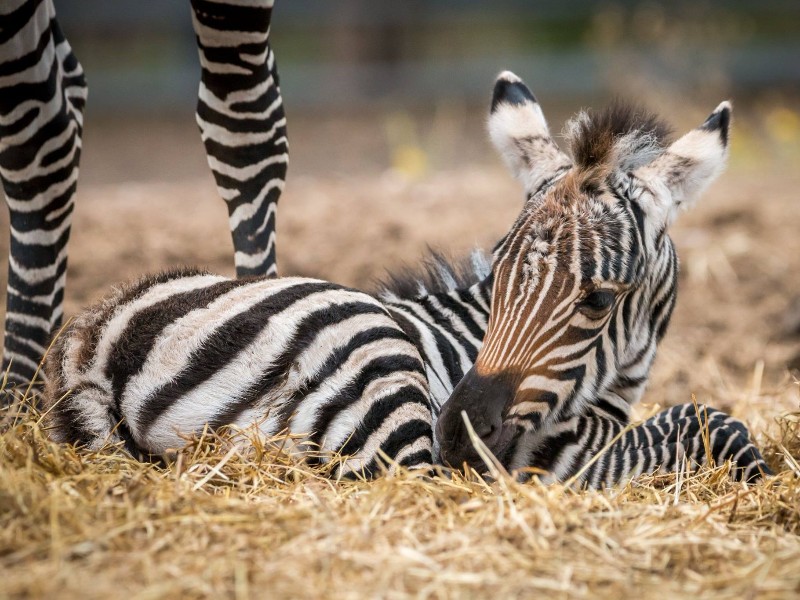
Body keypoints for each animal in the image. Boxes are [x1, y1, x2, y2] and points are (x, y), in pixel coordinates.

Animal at [42, 75, 768, 486]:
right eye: (498, 274)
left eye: (596, 300)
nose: (461, 436)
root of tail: (94, 349)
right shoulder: (554, 450)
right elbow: (705, 419)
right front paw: (756, 473)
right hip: (371, 353)